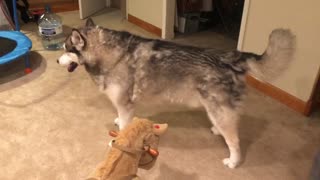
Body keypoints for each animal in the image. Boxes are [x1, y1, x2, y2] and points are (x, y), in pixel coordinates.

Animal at [57, 18, 296, 169]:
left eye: (66, 49)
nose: (57, 61)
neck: (111, 54)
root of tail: (232, 57)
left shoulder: (125, 103)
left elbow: (124, 128)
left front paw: (118, 142)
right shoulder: (124, 105)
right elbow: (122, 119)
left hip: (219, 110)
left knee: (235, 141)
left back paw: (233, 161)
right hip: (216, 109)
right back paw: (217, 130)